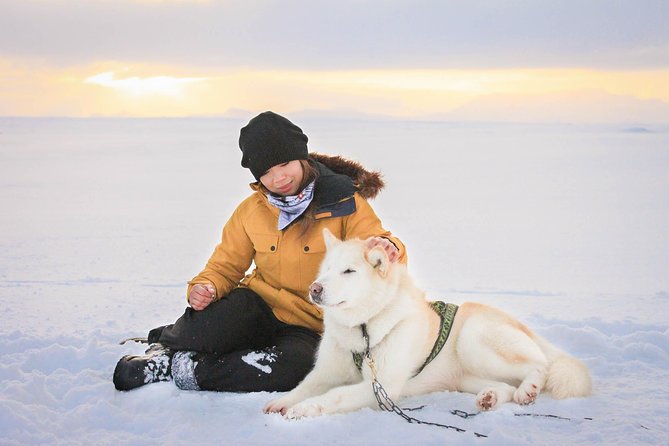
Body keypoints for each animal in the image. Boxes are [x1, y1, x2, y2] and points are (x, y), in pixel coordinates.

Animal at [264, 230, 588, 418]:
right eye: (327, 269)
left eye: (349, 271)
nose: (315, 289)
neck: (363, 329)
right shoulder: (326, 372)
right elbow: (305, 385)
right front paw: (284, 402)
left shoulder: (381, 386)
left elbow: (334, 396)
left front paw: (303, 409)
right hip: (467, 376)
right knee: (504, 385)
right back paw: (491, 397)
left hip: (474, 341)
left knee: (540, 365)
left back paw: (529, 388)